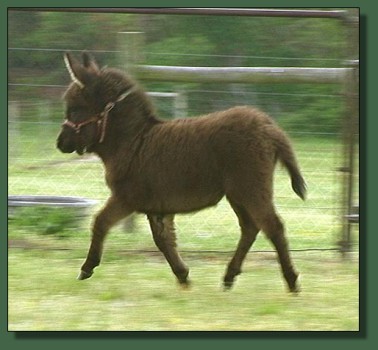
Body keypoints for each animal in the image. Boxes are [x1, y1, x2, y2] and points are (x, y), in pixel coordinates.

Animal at [57, 52, 306, 292]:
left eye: (76, 109)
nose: (60, 143)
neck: (133, 140)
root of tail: (268, 126)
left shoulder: (127, 198)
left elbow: (100, 222)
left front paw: (87, 268)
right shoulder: (157, 207)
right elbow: (163, 240)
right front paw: (183, 277)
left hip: (250, 187)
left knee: (273, 227)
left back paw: (292, 282)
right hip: (237, 193)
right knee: (250, 228)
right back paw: (229, 277)